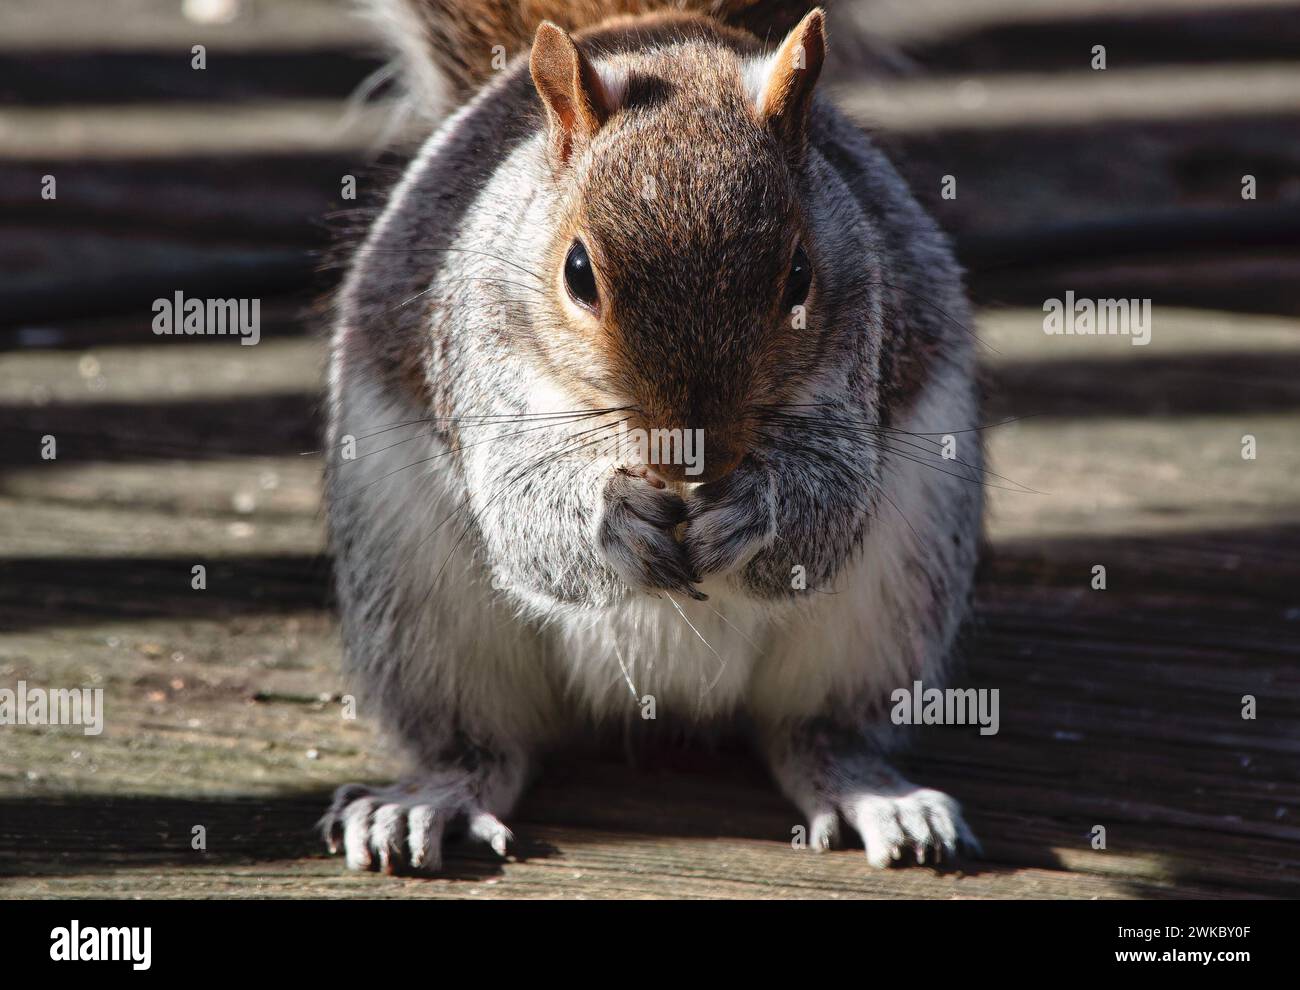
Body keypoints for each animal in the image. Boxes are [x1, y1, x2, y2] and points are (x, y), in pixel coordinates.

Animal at [322, 0, 984, 873]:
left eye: (799, 277)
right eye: (577, 272)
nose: (693, 450)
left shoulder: (864, 336)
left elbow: (831, 506)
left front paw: (752, 509)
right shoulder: (477, 343)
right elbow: (521, 506)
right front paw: (615, 518)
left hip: (891, 605)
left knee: (815, 730)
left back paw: (871, 792)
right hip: (417, 609)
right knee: (482, 745)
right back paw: (430, 799)